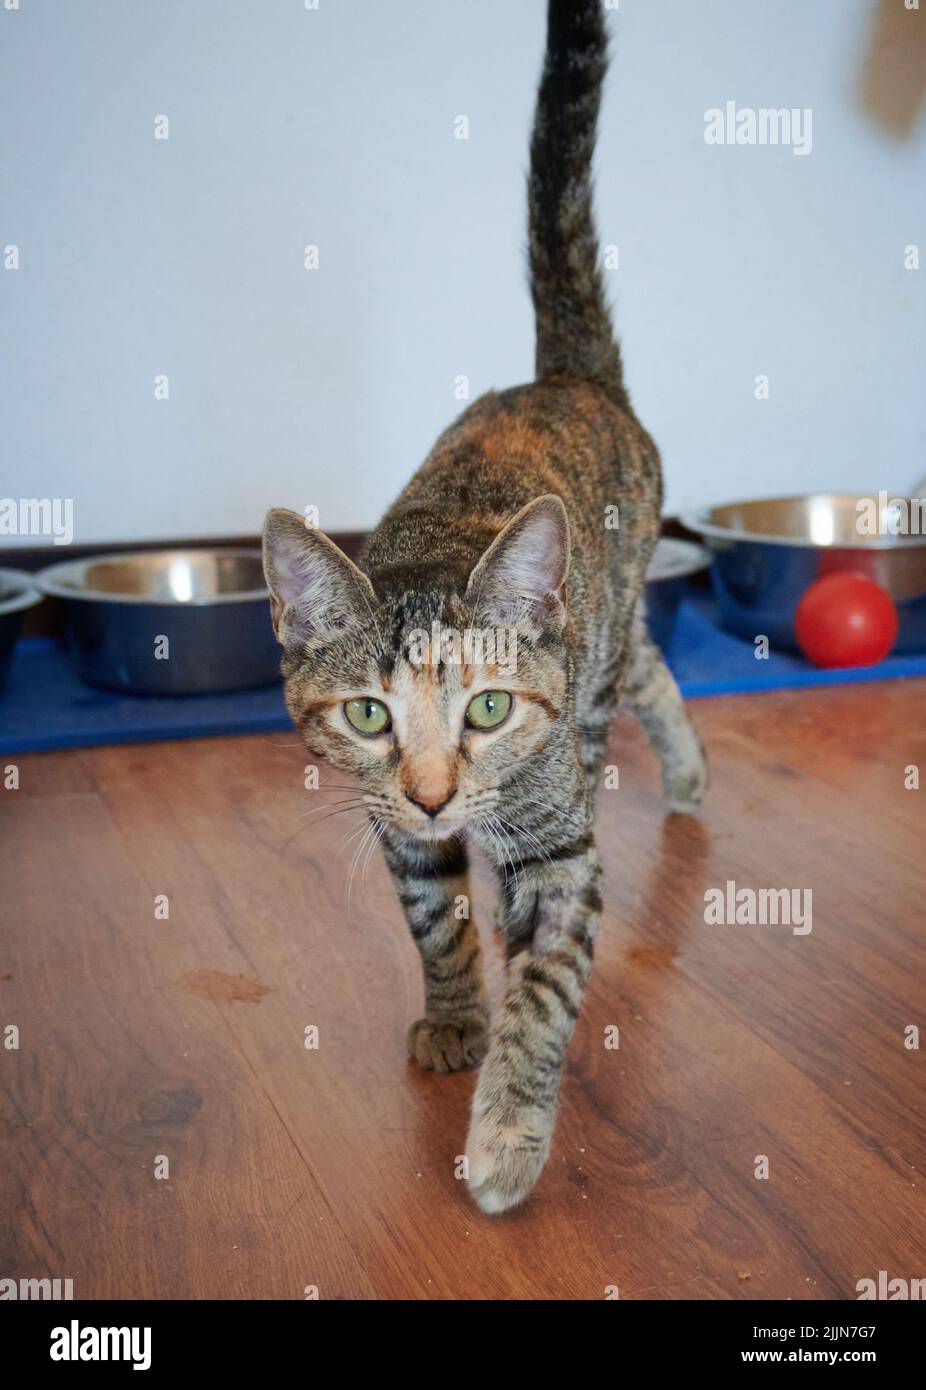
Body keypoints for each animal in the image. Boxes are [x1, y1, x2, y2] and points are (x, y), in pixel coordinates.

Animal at [262, 0, 703, 1212]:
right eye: (369, 715)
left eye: (490, 709)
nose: (429, 793)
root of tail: (569, 375)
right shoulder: (401, 845)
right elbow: (437, 933)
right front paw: (458, 1015)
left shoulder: (563, 851)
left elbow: (545, 990)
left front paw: (507, 1132)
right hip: (608, 629)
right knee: (654, 659)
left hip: (593, 671)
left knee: (627, 681)